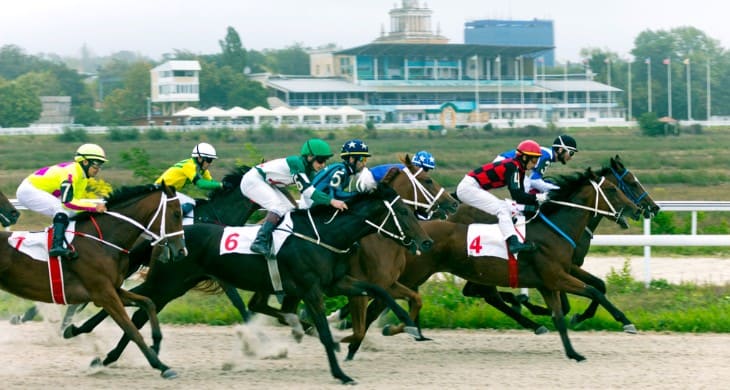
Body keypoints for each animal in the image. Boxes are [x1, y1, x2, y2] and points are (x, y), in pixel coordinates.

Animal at [0, 183, 186, 378]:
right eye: (176, 214)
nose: (181, 251)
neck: (102, 241)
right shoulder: (104, 295)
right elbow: (132, 330)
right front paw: (161, 366)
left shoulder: (113, 289)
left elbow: (148, 302)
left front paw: (156, 343)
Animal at [65, 182, 430, 384]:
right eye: (404, 213)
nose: (425, 242)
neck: (323, 236)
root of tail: (168, 237)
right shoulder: (312, 290)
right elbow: (324, 333)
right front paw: (341, 373)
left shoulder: (337, 282)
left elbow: (379, 290)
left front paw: (409, 325)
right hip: (168, 280)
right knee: (132, 301)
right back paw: (84, 335)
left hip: (175, 284)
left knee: (138, 309)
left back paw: (109, 356)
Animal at [346, 169, 636, 362]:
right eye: (613, 189)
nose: (636, 209)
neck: (553, 229)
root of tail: (417, 231)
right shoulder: (557, 276)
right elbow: (594, 291)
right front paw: (625, 322)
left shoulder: (549, 282)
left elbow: (561, 315)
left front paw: (573, 352)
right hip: (411, 275)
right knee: (376, 305)